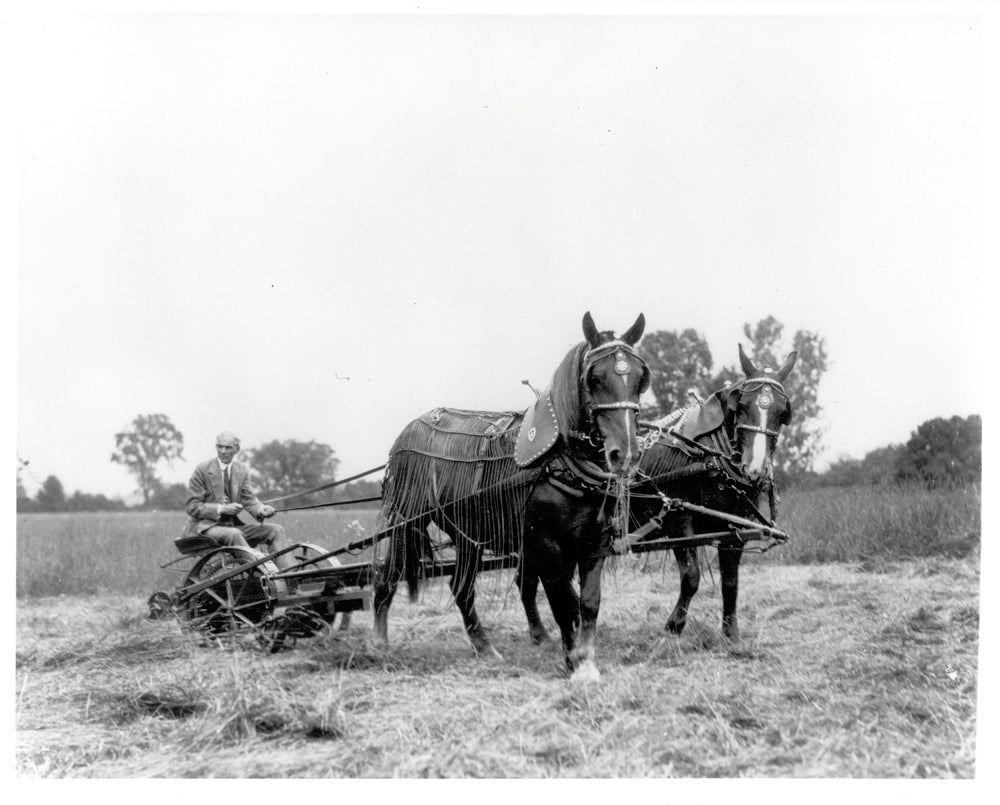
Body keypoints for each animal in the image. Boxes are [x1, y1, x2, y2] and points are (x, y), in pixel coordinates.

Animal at [374, 310, 648, 680]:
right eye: (594, 378)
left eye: (640, 378)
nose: (626, 453)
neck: (559, 463)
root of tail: (406, 433)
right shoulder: (547, 545)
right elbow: (564, 604)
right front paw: (574, 660)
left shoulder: (594, 544)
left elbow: (587, 603)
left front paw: (586, 660)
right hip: (406, 523)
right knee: (387, 578)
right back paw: (380, 643)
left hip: (467, 535)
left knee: (461, 589)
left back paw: (484, 647)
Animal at [520, 346, 792, 648]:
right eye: (742, 405)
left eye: (783, 412)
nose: (754, 469)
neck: (709, 457)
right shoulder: (679, 521)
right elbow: (691, 577)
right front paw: (674, 625)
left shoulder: (735, 529)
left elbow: (731, 581)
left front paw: (731, 634)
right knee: (530, 578)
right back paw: (539, 632)